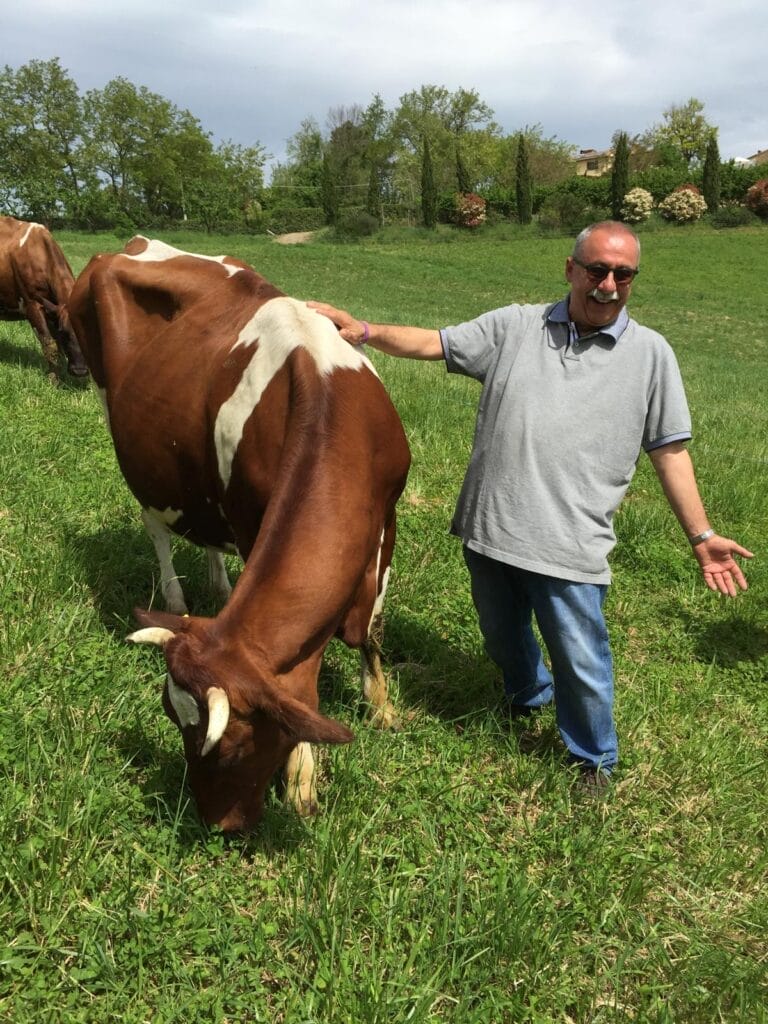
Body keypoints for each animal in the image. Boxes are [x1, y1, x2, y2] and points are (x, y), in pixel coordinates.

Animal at [0, 217, 89, 382]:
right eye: (65, 332)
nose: (80, 371)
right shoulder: (32, 305)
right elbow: (50, 344)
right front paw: (53, 379)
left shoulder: (54, 311)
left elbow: (58, 346)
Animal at [68, 236, 410, 831]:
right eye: (171, 718)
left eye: (228, 749)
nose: (215, 824)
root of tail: (136, 243)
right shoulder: (252, 524)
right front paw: (301, 777)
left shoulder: (385, 521)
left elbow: (370, 628)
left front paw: (381, 705)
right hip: (126, 431)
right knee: (156, 527)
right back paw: (176, 598)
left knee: (206, 532)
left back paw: (218, 587)